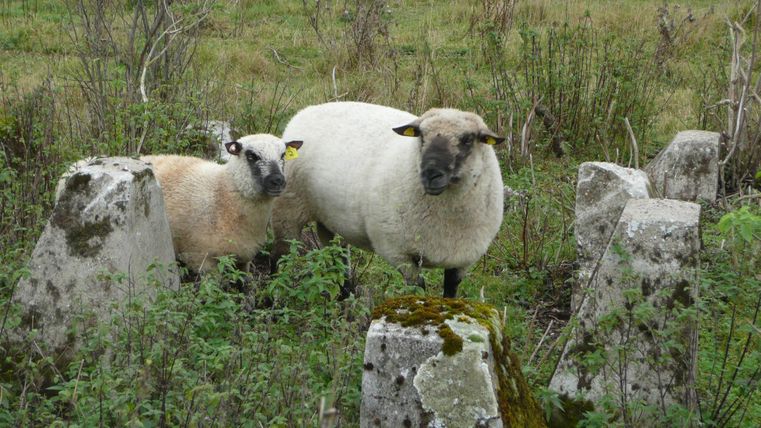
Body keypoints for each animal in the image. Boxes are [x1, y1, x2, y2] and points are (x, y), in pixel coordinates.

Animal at [271, 102, 504, 298]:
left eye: (468, 140)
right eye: (420, 136)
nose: (430, 174)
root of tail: (305, 111)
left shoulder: (463, 259)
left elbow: (450, 293)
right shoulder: (397, 252)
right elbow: (418, 288)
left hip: (329, 218)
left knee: (338, 256)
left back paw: (345, 297)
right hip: (287, 211)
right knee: (280, 256)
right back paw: (271, 298)